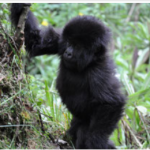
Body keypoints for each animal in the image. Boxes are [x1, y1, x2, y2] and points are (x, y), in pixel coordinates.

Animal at [10, 3, 125, 149]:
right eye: (69, 42)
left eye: (77, 46)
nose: (68, 52)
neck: (89, 62)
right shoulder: (60, 41)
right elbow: (35, 41)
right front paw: (20, 7)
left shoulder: (100, 71)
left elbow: (112, 102)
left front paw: (96, 141)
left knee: (84, 129)